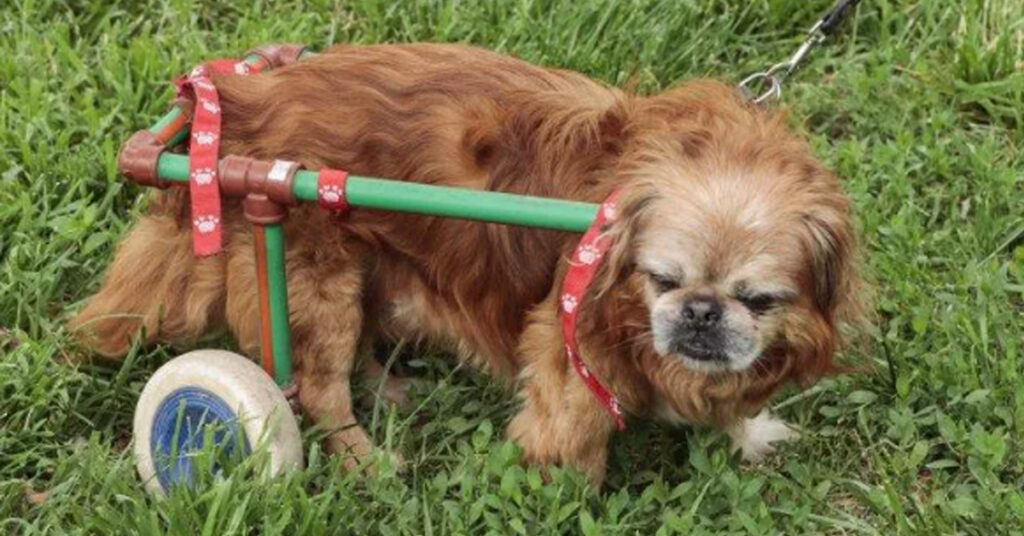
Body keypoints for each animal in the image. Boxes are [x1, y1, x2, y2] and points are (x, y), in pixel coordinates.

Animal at [68, 42, 860, 485]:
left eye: (759, 300)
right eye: (661, 280)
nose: (699, 314)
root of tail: (235, 97)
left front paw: (748, 434)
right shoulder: (570, 352)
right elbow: (573, 437)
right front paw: (575, 493)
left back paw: (387, 389)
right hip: (310, 273)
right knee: (315, 391)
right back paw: (363, 460)